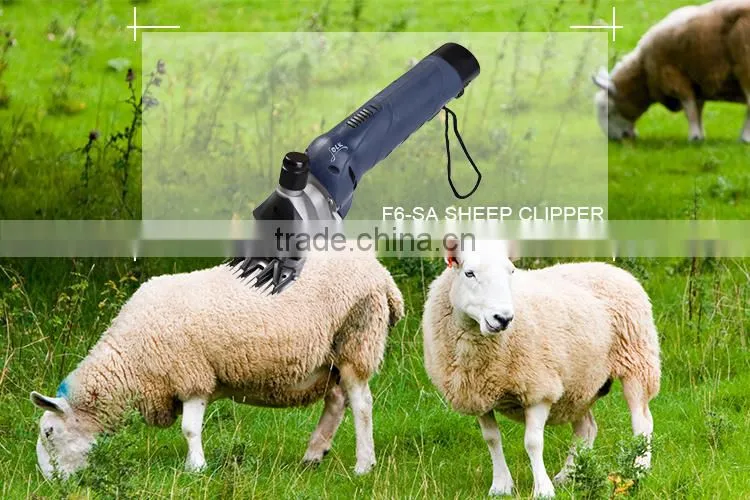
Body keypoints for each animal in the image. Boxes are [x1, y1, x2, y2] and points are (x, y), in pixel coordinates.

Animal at [30, 250, 404, 480]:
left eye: (49, 432)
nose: (50, 481)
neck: (130, 362)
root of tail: (382, 274)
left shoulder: (192, 374)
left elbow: (189, 429)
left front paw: (196, 468)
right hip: (332, 359)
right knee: (337, 401)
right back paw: (313, 454)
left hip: (357, 338)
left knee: (362, 404)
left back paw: (363, 464)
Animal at [422, 241, 660, 498]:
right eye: (469, 273)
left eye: (511, 271)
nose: (503, 318)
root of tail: (610, 268)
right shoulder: (477, 394)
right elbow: (492, 439)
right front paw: (501, 485)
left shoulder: (538, 389)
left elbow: (533, 442)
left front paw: (543, 489)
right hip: (579, 384)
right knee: (586, 429)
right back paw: (568, 475)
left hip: (637, 362)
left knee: (642, 422)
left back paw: (639, 470)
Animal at [593, 0, 750, 142]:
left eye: (607, 110)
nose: (613, 140)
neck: (644, 71)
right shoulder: (697, 81)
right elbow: (698, 108)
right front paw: (700, 136)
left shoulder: (674, 78)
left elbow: (689, 109)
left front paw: (694, 137)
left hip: (745, 67)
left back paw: (744, 138)